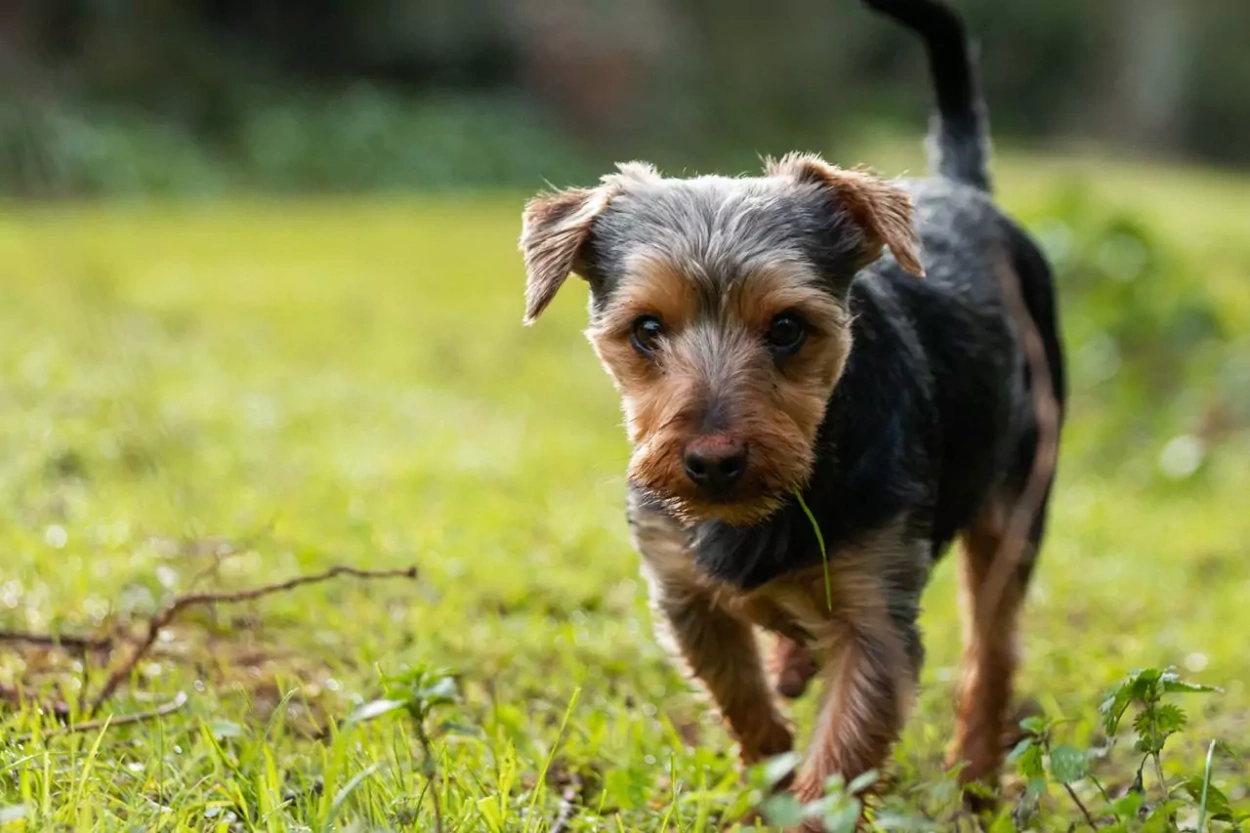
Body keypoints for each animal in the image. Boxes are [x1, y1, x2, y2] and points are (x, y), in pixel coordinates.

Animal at [517, 0, 1065, 815]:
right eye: (645, 329)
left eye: (786, 328)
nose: (714, 462)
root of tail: (964, 190)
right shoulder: (684, 595)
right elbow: (745, 705)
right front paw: (765, 778)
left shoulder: (876, 619)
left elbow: (838, 760)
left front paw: (800, 807)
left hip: (1019, 494)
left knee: (991, 646)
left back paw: (974, 780)